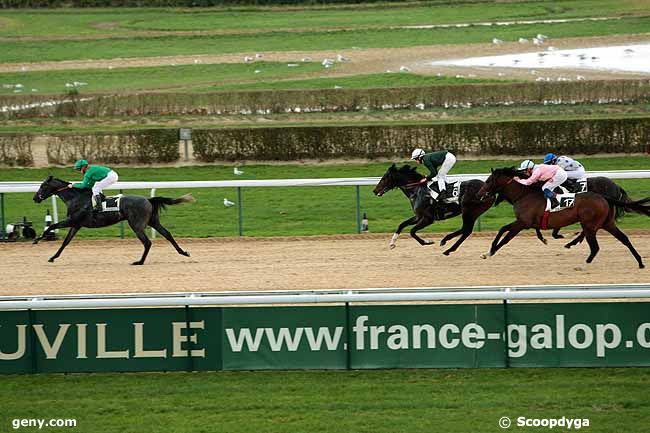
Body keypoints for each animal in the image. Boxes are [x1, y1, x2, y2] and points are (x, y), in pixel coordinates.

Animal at [33, 175, 194, 264]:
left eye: (43, 185)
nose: (35, 198)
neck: (76, 199)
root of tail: (148, 199)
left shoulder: (72, 220)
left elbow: (51, 226)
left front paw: (37, 239)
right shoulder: (76, 224)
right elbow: (65, 242)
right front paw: (53, 257)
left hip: (136, 224)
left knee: (147, 242)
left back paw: (139, 262)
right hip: (153, 221)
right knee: (167, 234)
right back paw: (183, 252)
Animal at [476, 168, 648, 266]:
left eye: (489, 180)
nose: (479, 194)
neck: (524, 195)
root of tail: (604, 197)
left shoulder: (523, 223)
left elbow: (506, 237)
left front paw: (491, 252)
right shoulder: (522, 222)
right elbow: (502, 229)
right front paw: (488, 251)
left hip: (590, 224)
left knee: (595, 246)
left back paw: (582, 258)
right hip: (607, 223)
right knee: (623, 239)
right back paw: (640, 262)